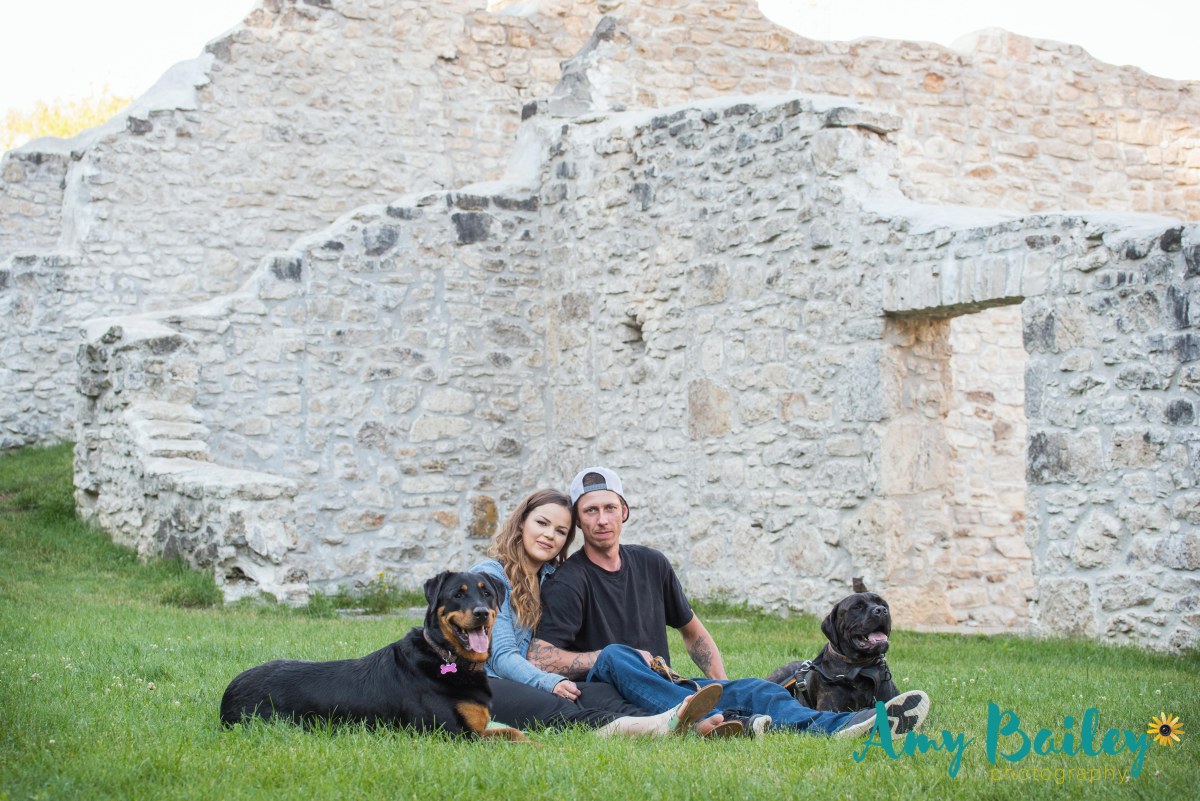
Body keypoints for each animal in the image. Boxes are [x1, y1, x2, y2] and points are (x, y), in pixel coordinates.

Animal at [220, 570, 523, 740]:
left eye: (487, 593)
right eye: (458, 595)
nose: (481, 612)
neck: (445, 657)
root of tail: (229, 692)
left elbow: (514, 731)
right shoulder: (453, 735)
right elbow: (512, 737)